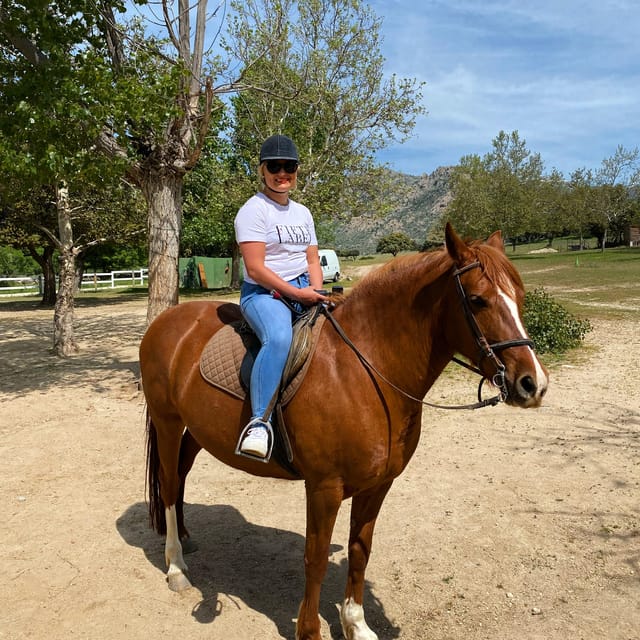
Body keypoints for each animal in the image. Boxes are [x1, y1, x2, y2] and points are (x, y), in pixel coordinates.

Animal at [139, 223, 548, 640]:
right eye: (478, 300)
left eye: (520, 296)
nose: (533, 383)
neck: (362, 369)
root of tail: (168, 320)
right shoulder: (324, 488)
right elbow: (316, 558)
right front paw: (309, 631)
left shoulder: (378, 485)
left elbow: (359, 550)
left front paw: (356, 624)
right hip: (167, 421)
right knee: (169, 485)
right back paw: (176, 566)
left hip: (196, 430)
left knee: (181, 475)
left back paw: (184, 538)